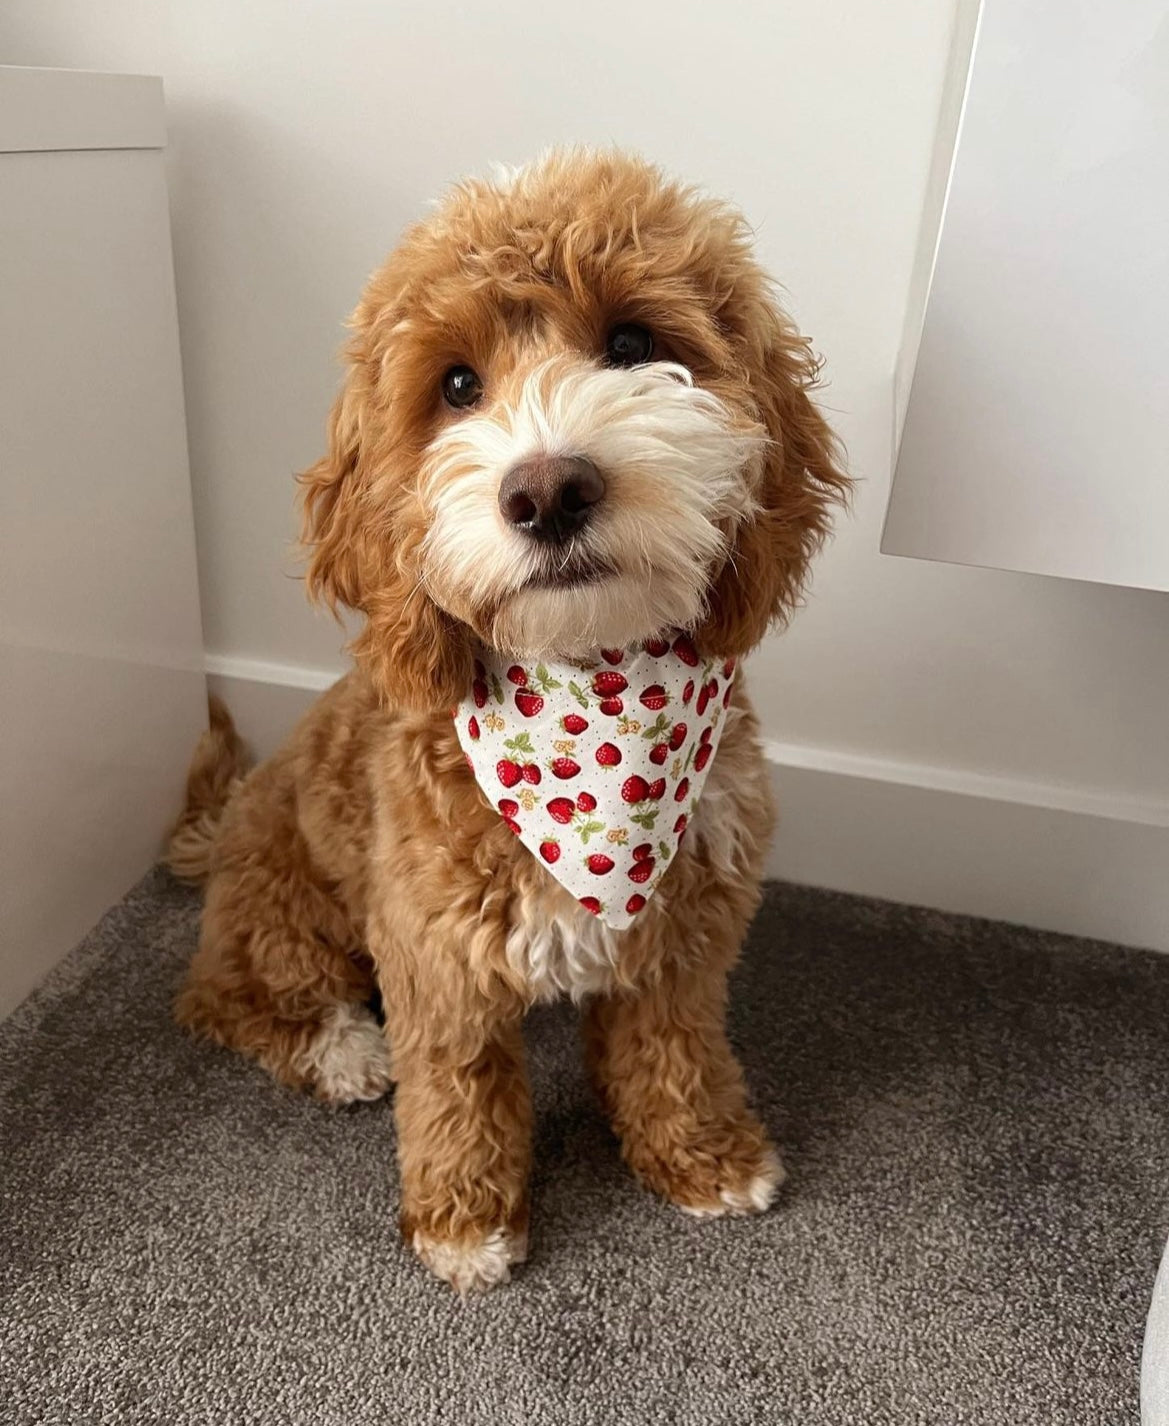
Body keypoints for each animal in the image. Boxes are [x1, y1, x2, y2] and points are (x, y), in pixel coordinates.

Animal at [168, 147, 849, 1294]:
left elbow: (674, 1050)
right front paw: (465, 1221)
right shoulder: (435, 953)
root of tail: (223, 832)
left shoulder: (686, 929)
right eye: (455, 385)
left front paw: (703, 1153)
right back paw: (343, 1049)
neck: (591, 700)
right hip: (286, 909)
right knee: (221, 995)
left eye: (631, 342)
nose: (547, 490)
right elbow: (456, 1091)